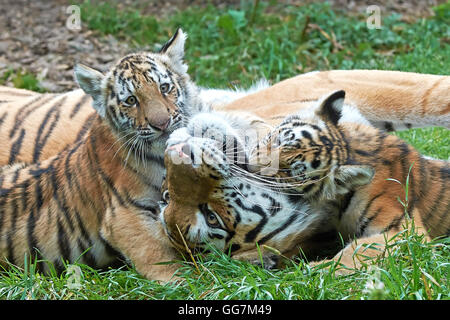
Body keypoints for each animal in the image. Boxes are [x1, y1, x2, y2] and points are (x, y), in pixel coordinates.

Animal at [160, 90, 448, 272]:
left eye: (290, 171)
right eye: (274, 140)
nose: (253, 166)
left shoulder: (406, 231)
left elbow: (357, 252)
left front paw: (317, 271)